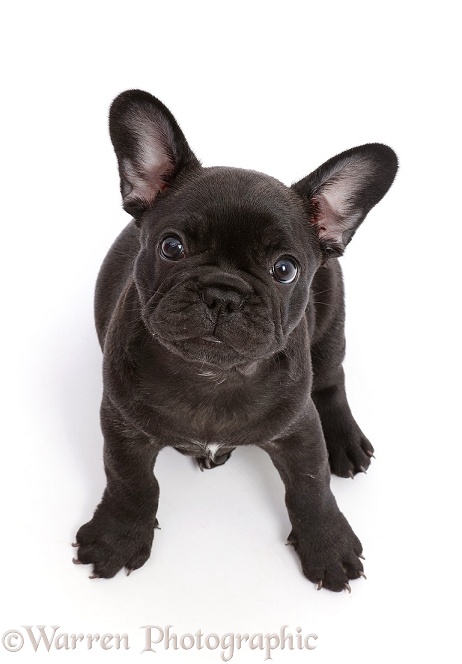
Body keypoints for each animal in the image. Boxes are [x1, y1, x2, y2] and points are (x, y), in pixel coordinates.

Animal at [73, 89, 398, 592]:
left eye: (285, 269)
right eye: (172, 247)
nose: (223, 294)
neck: (212, 376)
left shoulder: (299, 427)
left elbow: (312, 486)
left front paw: (328, 545)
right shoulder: (122, 424)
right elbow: (131, 482)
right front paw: (118, 538)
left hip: (331, 328)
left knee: (331, 379)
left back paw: (345, 441)